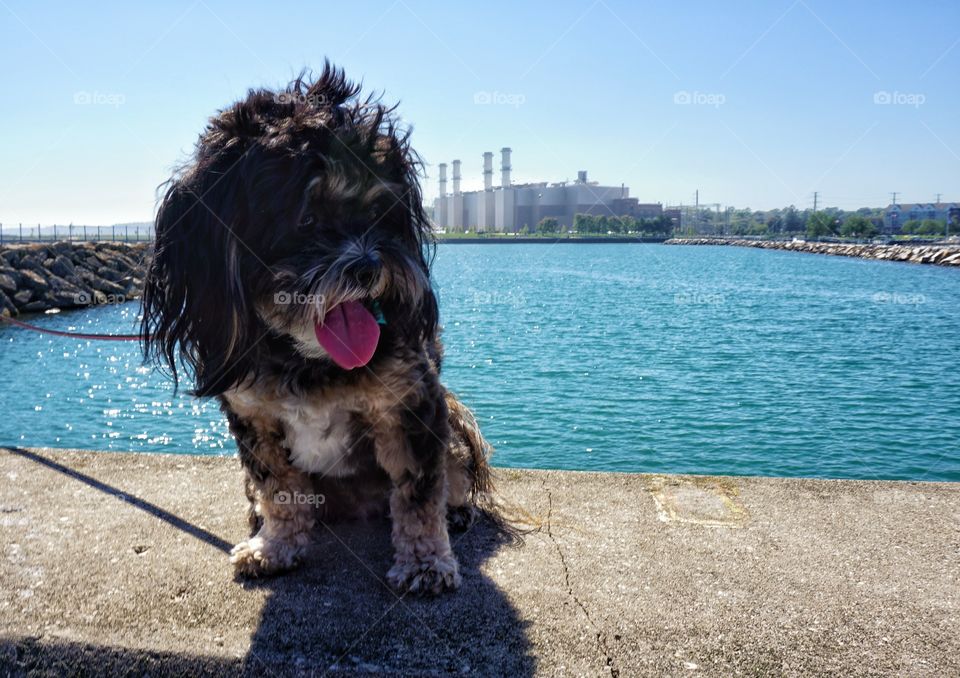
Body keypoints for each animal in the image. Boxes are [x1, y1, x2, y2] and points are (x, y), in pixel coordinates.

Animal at [142, 63, 496, 596]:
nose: (370, 267)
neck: (308, 360)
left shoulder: (410, 405)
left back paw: (457, 514)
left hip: (451, 424)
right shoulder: (254, 420)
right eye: (305, 218)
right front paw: (274, 548)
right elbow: (279, 489)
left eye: (379, 213)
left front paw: (425, 562)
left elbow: (417, 495)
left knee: (447, 480)